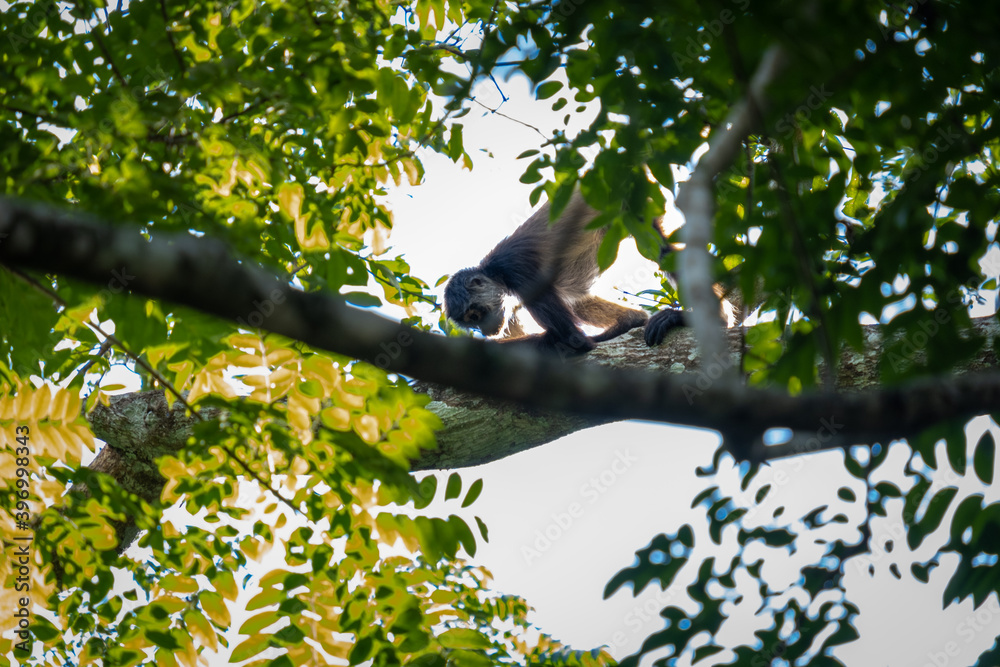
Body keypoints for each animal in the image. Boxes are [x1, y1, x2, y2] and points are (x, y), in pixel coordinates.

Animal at [444, 190, 672, 355]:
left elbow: (576, 341)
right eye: (472, 323)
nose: (484, 331)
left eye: (475, 315)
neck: (495, 271)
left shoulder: (519, 273)